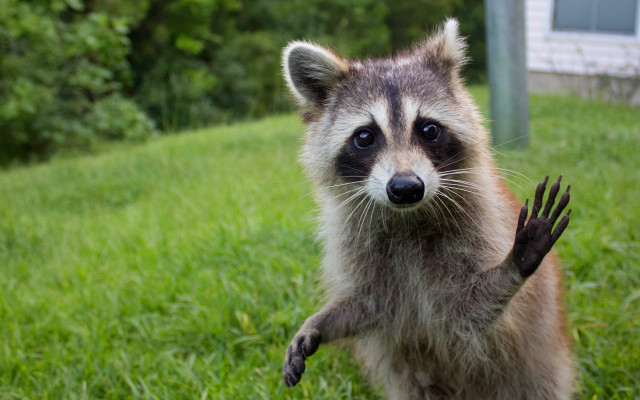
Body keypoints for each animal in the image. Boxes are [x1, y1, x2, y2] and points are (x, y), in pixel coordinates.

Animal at [281, 19, 576, 399]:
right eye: (365, 137)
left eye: (429, 129)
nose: (406, 188)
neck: (407, 218)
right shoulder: (358, 246)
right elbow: (368, 306)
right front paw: (320, 321)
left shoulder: (480, 228)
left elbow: (470, 310)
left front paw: (512, 266)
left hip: (538, 370)